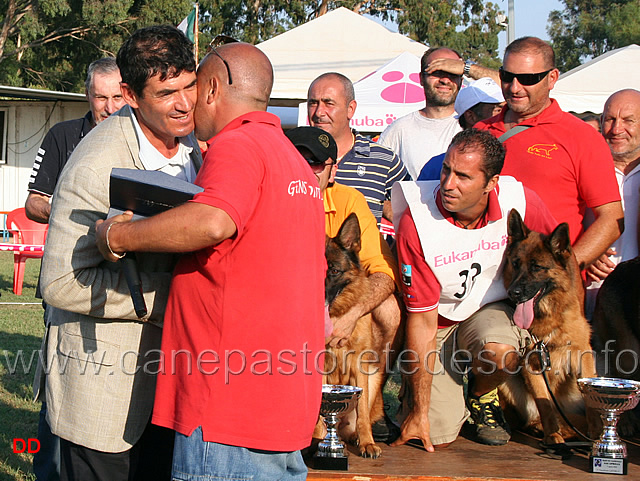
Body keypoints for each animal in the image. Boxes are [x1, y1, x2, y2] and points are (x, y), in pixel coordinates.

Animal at [500, 211, 596, 446]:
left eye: (537, 267)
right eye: (515, 263)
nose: (513, 292)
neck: (549, 319)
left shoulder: (583, 354)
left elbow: (592, 402)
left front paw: (597, 435)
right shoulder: (531, 362)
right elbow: (545, 405)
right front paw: (553, 437)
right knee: (534, 417)